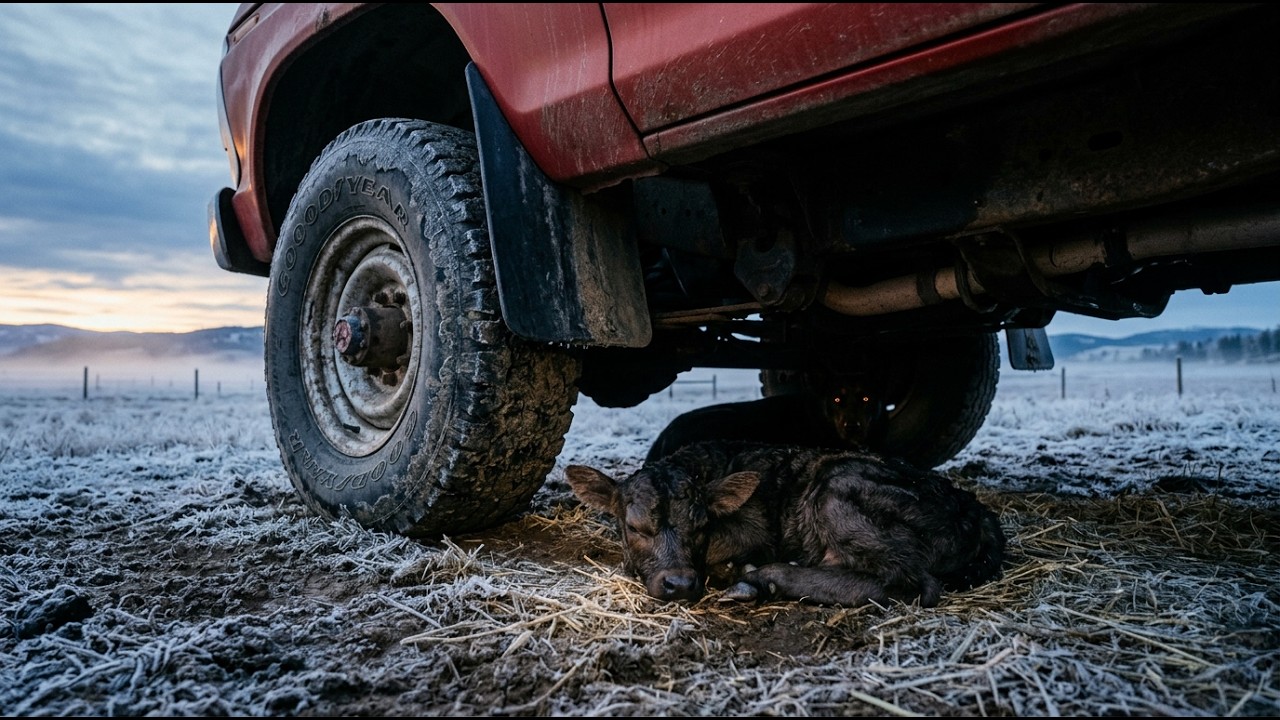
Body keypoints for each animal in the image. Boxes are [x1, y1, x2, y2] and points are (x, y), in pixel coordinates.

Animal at [565, 440, 1005, 607]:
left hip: (837, 489)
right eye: (634, 527)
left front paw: (734, 567)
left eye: (702, 526)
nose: (680, 584)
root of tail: (978, 511)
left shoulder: (755, 528)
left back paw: (760, 578)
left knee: (906, 581)